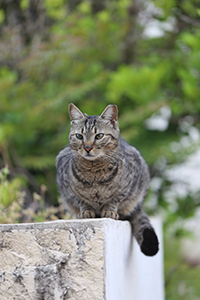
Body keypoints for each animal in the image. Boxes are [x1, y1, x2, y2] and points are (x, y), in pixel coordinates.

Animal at [56, 103, 159, 255]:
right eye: (79, 136)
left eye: (99, 136)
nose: (87, 148)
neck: (94, 173)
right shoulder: (69, 189)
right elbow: (82, 200)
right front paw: (86, 211)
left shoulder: (127, 186)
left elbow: (115, 199)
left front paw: (110, 211)